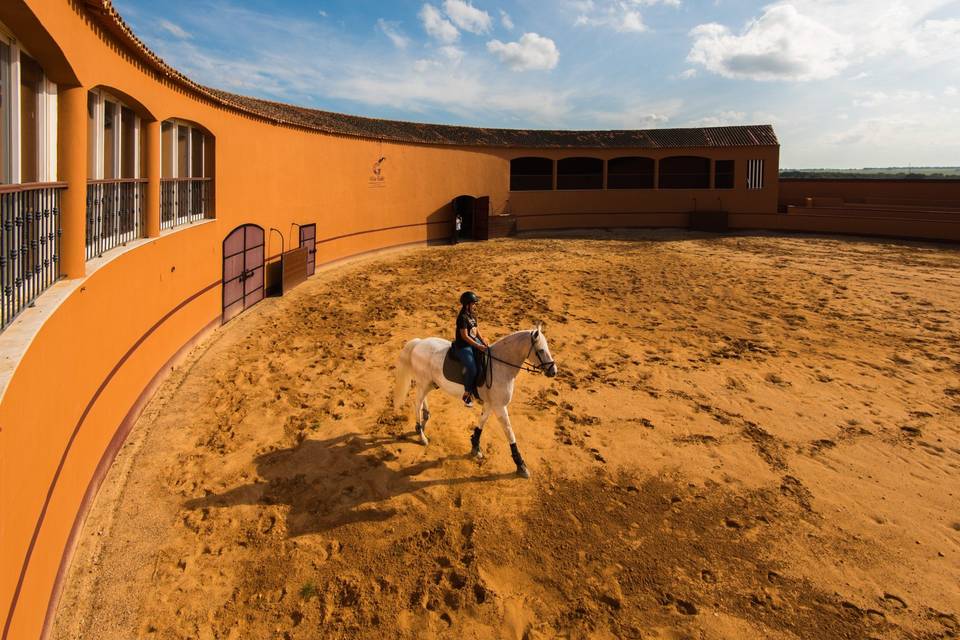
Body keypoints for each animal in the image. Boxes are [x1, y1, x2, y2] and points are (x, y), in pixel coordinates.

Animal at [392, 328, 556, 478]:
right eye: (541, 350)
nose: (553, 371)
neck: (500, 366)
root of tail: (419, 343)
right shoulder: (499, 406)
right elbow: (510, 432)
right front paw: (521, 465)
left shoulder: (490, 404)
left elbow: (481, 422)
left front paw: (475, 447)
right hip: (424, 382)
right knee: (417, 403)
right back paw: (421, 435)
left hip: (430, 383)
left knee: (422, 400)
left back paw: (426, 417)